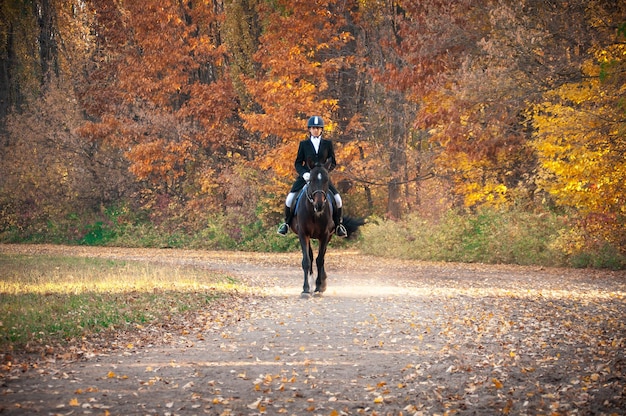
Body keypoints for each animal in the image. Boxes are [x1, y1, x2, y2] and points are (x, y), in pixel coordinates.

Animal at [286, 160, 360, 296]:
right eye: (311, 180)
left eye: (326, 179)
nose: (319, 204)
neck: (314, 212)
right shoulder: (303, 234)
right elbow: (306, 261)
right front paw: (306, 289)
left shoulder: (325, 235)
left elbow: (320, 260)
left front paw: (319, 287)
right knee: (310, 256)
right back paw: (311, 283)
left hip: (329, 235)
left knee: (322, 257)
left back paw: (322, 282)